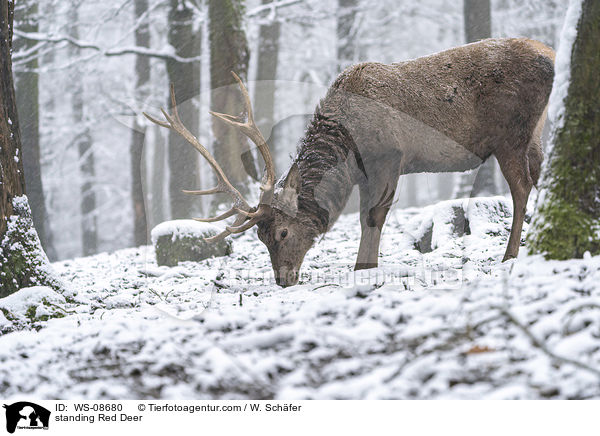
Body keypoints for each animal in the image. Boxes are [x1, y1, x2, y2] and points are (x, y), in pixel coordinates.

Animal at [144, 37, 552, 288]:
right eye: (259, 238)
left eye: (282, 233)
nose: (283, 279)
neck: (346, 143)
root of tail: (551, 54)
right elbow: (365, 217)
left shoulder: (389, 157)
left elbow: (372, 216)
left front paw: (364, 268)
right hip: (535, 133)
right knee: (539, 175)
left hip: (511, 134)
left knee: (521, 187)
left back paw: (510, 254)